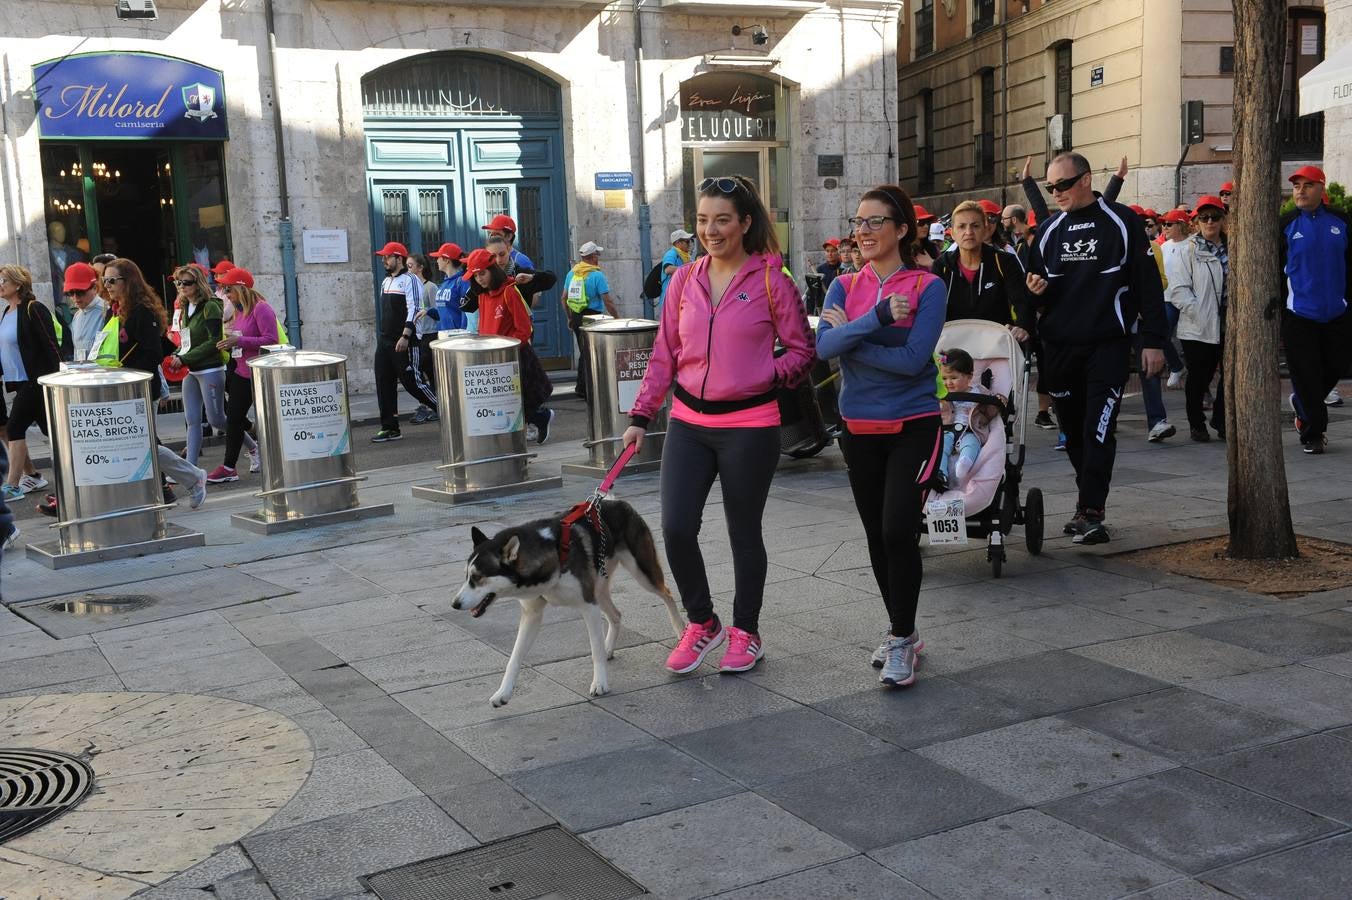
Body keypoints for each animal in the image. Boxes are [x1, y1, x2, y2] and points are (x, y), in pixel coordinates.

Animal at [454, 494, 686, 702]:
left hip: (641, 572)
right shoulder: (532, 614)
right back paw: (609, 647)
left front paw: (600, 683)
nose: (454, 604)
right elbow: (515, 657)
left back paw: (680, 629)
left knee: (667, 593)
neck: (552, 557)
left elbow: (594, 650)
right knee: (616, 615)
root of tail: (614, 500)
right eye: (466, 576)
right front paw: (503, 693)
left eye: (477, 577)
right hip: (599, 587)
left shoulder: (588, 606)